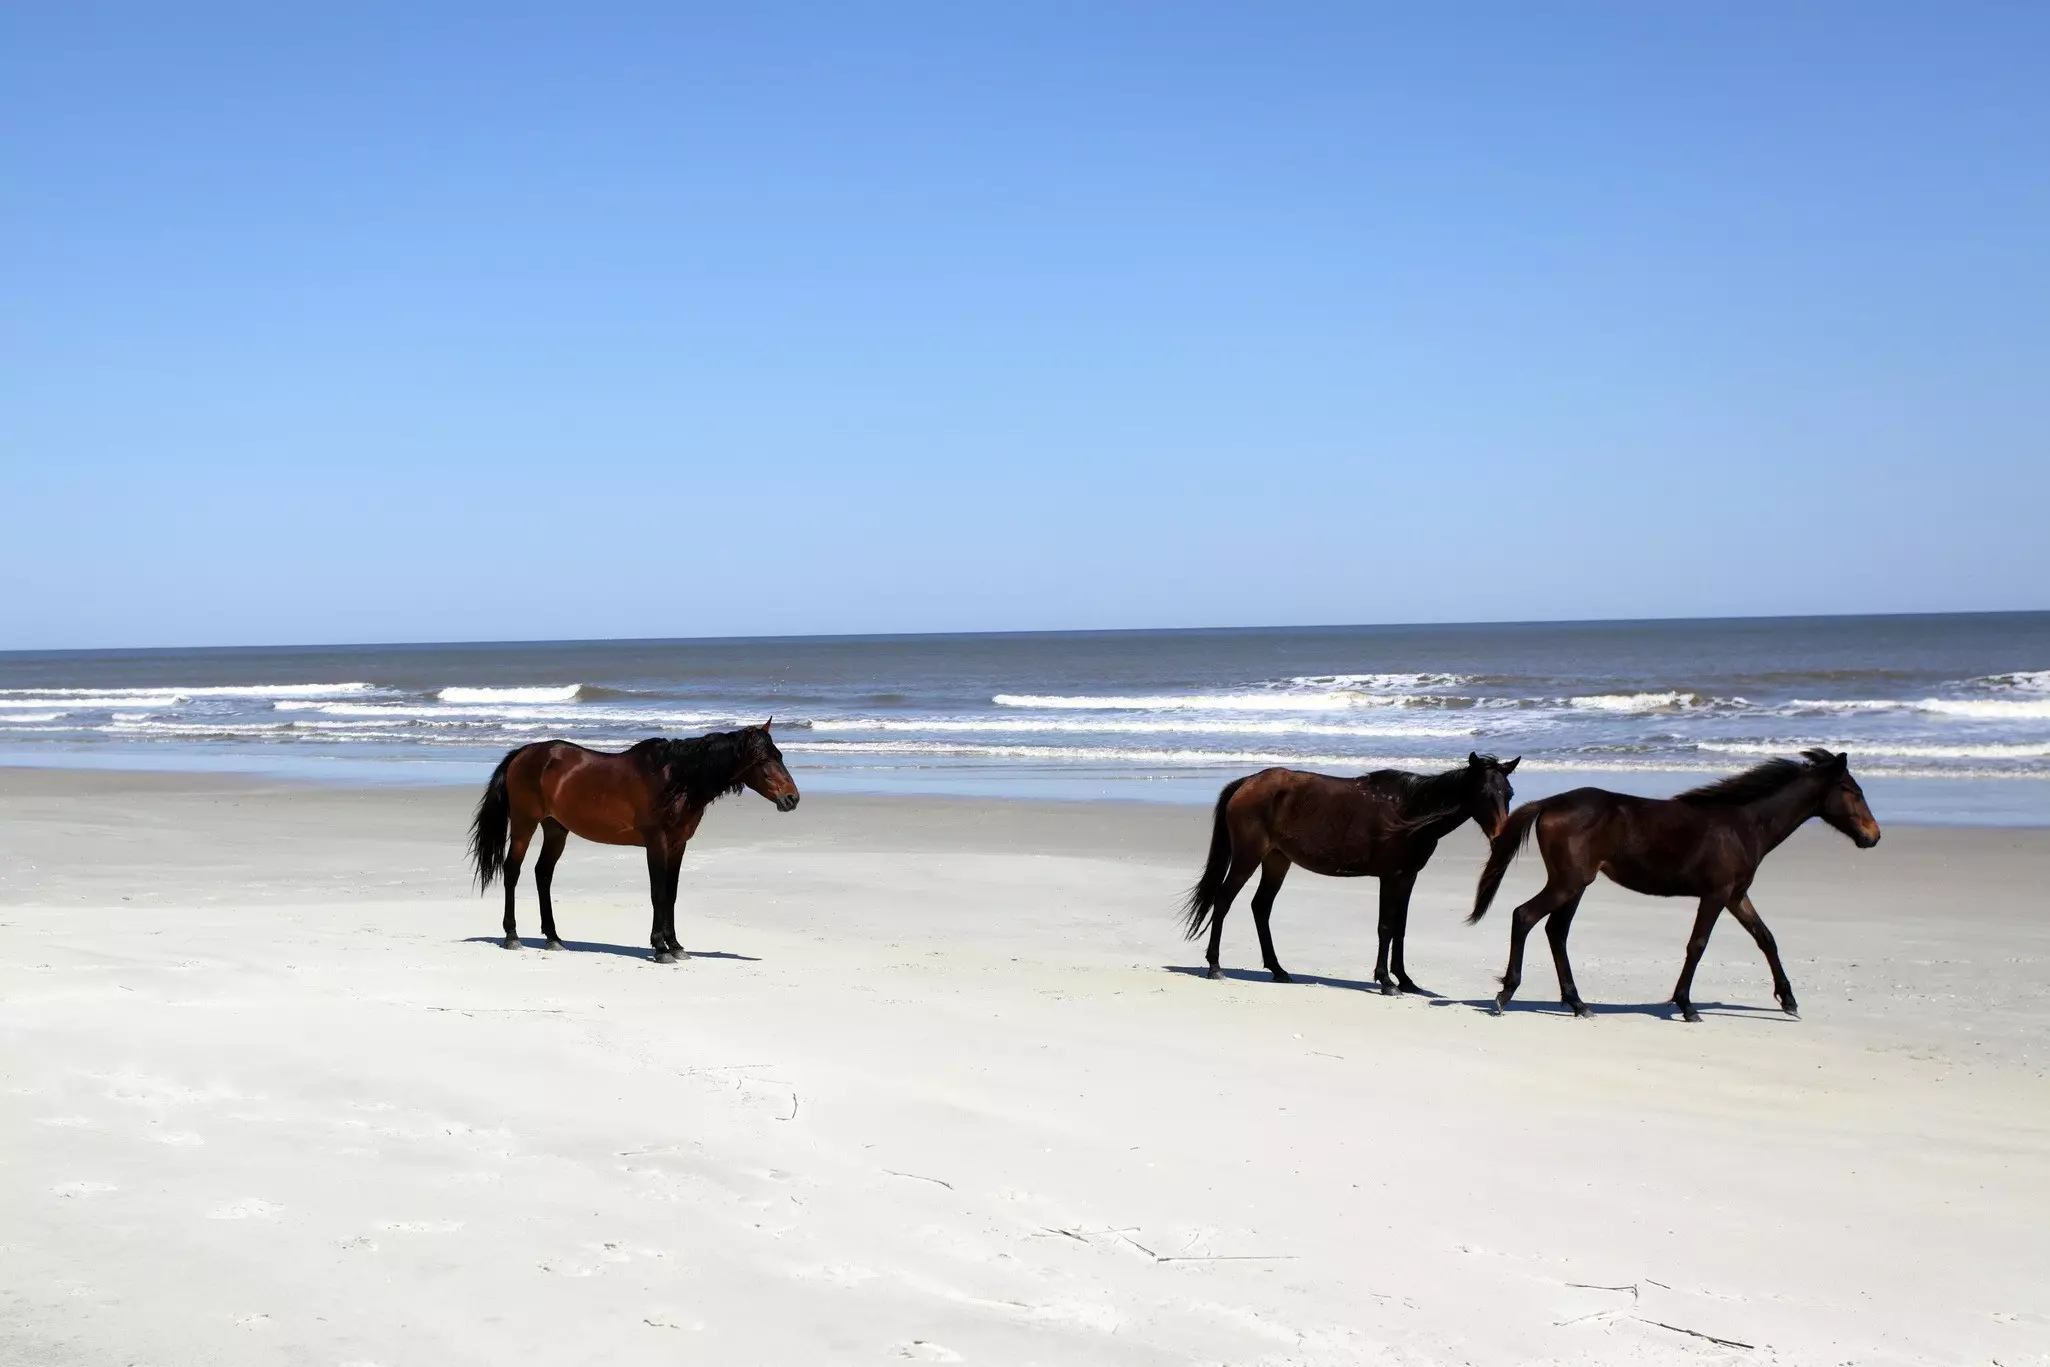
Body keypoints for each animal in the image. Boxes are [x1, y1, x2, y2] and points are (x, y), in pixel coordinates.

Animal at [467, 722, 799, 963]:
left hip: (556, 828)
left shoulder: (678, 845)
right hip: (525, 824)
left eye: (780, 756)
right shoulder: (657, 843)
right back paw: (512, 936)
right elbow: (657, 894)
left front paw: (676, 945)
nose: (792, 798)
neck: (674, 780)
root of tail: (523, 754)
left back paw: (554, 938)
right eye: (763, 759)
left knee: (542, 874)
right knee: (512, 871)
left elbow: (671, 895)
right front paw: (661, 948)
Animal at [1182, 752, 1519, 993]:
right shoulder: (1391, 876)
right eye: (1481, 791)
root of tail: (1246, 782)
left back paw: (1278, 970)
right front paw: (1387, 982)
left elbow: (1400, 927)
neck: (1411, 810)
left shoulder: (1408, 876)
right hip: (1247, 857)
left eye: (1509, 793)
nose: (1501, 838)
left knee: (1260, 907)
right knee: (1223, 900)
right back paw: (1215, 966)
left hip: (1277, 860)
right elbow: (1386, 926)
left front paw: (1405, 979)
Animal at [1468, 748, 1880, 1021]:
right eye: (1855, 792)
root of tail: (1549, 804)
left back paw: (1578, 1004)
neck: (1744, 825)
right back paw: (1505, 995)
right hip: (1568, 883)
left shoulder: (1736, 895)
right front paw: (1686, 1005)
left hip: (1575, 885)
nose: (1873, 836)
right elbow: (1697, 945)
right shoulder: (1716, 894)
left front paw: (1788, 1000)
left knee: (1556, 931)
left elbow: (1765, 938)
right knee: (1524, 916)